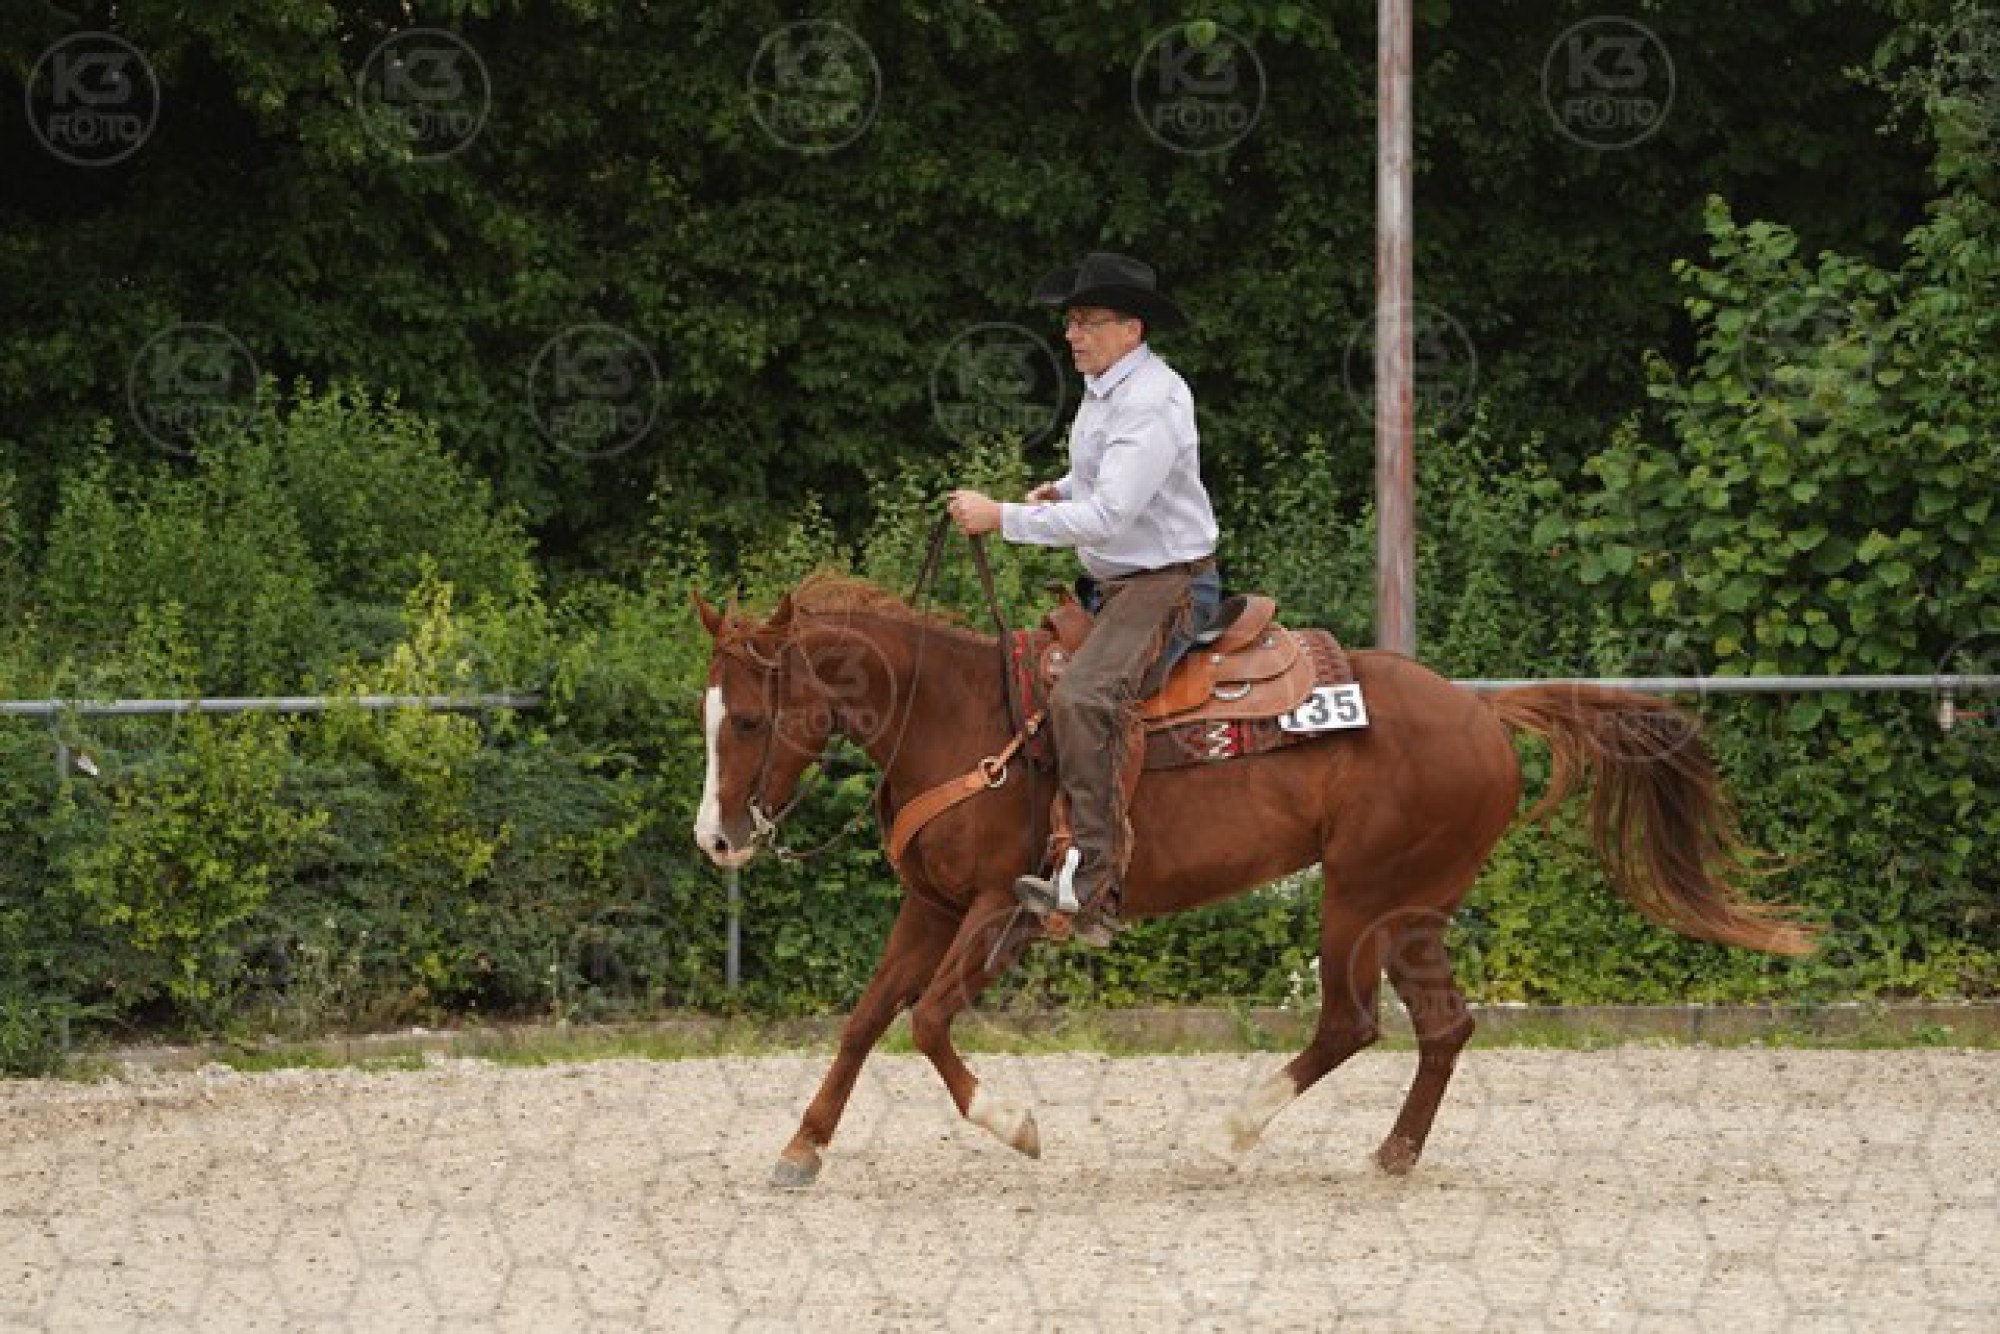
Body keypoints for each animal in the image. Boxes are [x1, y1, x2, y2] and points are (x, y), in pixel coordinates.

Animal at [691, 571, 1813, 1188]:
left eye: (746, 717)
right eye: (709, 713)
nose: (715, 839)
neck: (959, 714)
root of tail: (1482, 711)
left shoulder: (992, 903)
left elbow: (925, 1021)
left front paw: (1016, 1127)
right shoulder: (928, 904)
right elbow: (864, 1021)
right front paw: (800, 1148)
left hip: (1361, 896)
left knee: (1350, 1023)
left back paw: (1232, 1130)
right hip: (1412, 908)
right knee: (1442, 1027)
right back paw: (1390, 1155)